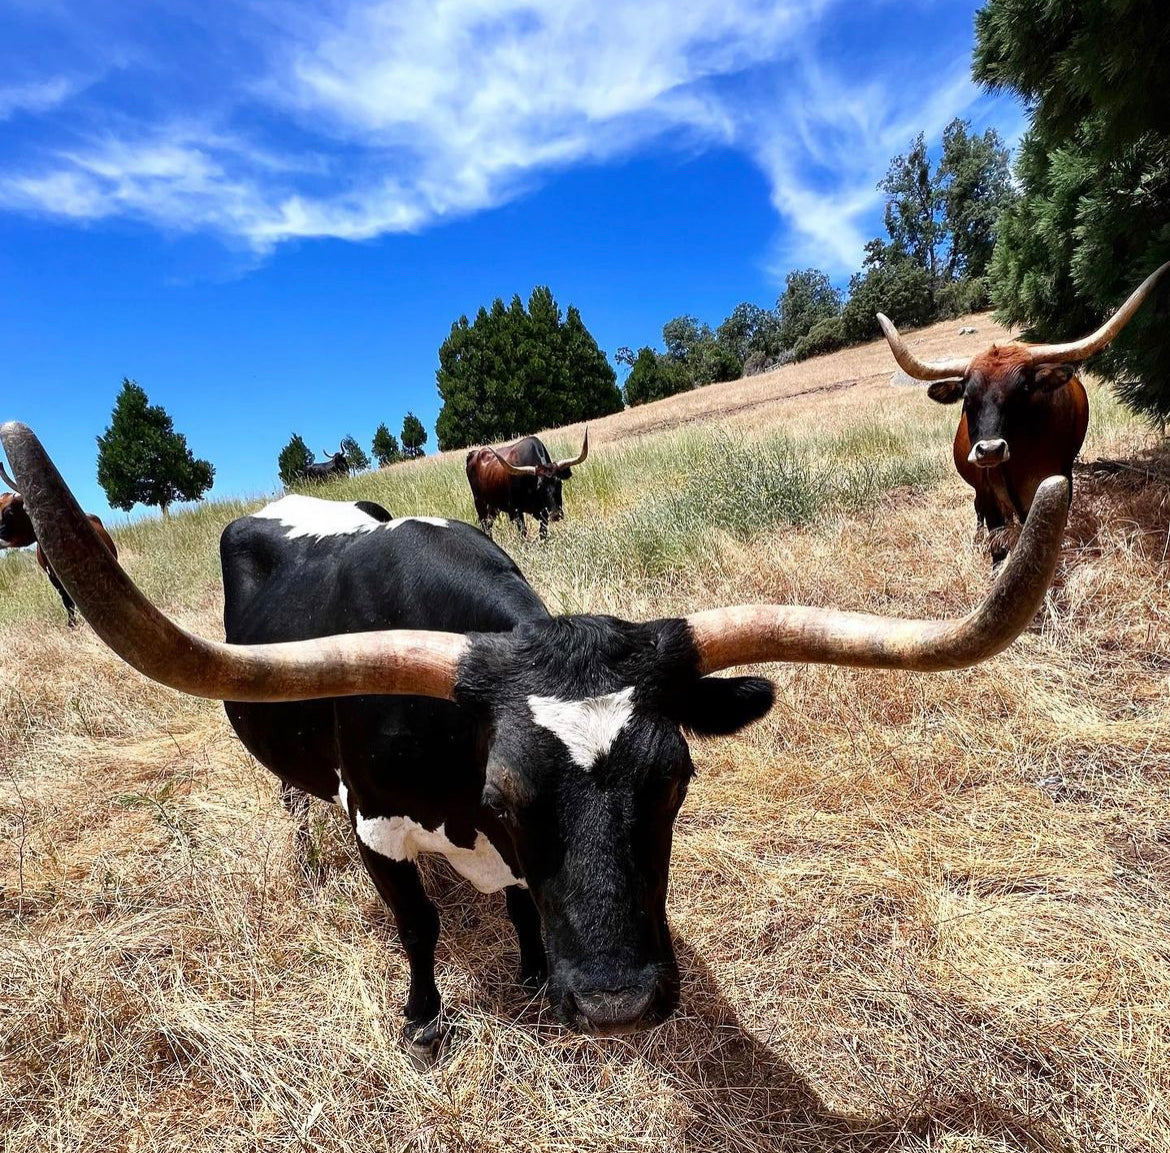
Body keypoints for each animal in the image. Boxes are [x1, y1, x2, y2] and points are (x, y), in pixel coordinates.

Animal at [879, 262, 1165, 566]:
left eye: (1024, 389)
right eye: (967, 398)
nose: (990, 450)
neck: (1017, 461)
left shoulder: (1055, 482)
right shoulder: (988, 494)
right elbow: (995, 538)